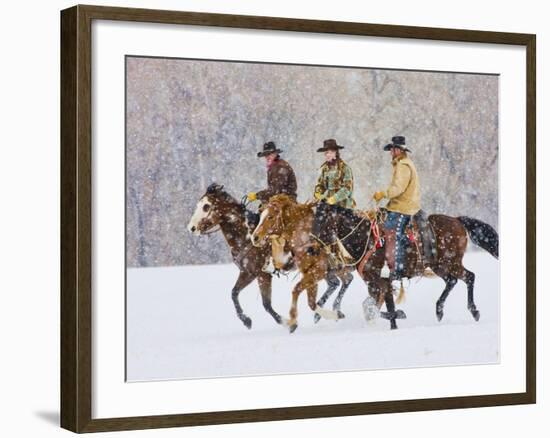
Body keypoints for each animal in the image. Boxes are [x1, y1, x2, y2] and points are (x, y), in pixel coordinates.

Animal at [314, 202, 500, 328]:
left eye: (321, 221)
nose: (311, 246)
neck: (367, 239)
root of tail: (457, 220)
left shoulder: (379, 282)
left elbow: (372, 307)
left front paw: (398, 315)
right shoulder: (376, 283)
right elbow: (378, 305)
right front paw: (393, 323)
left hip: (451, 262)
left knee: (469, 277)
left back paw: (474, 311)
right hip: (439, 266)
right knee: (452, 281)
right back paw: (439, 310)